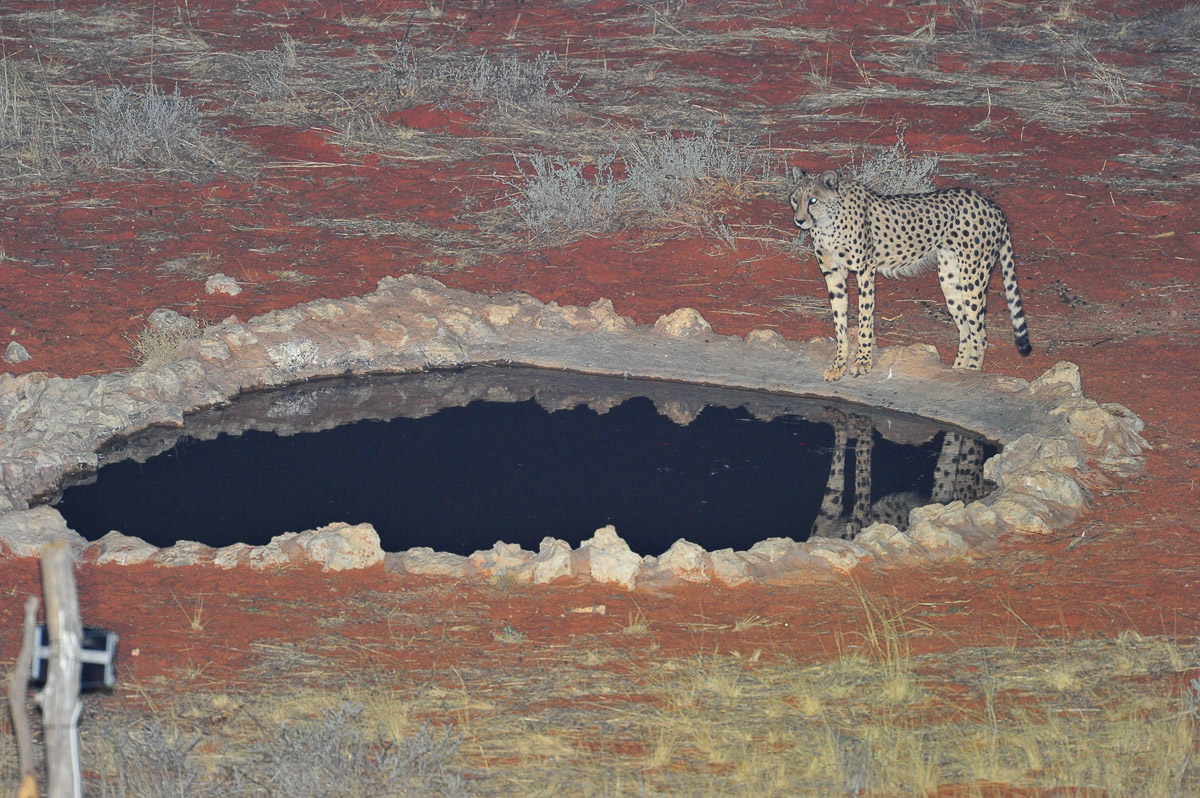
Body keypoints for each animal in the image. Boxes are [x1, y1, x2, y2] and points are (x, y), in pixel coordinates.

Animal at [788, 167, 1032, 381]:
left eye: (813, 200)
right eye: (794, 199)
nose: (799, 220)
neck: (827, 222)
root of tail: (990, 204)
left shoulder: (866, 270)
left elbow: (865, 318)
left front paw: (863, 362)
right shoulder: (833, 273)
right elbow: (839, 323)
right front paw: (839, 365)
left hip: (973, 277)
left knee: (980, 335)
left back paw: (971, 373)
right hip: (950, 280)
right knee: (966, 331)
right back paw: (957, 371)